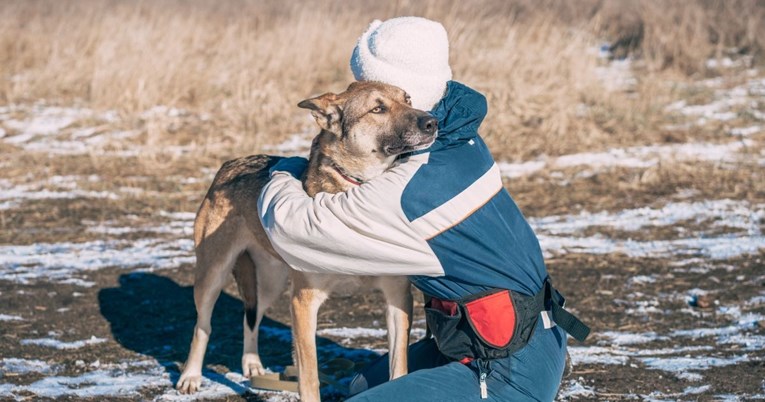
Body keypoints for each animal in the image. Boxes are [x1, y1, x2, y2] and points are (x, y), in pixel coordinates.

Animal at [175, 80, 436, 400]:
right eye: (378, 109)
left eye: (407, 99)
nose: (432, 122)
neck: (358, 194)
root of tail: (230, 164)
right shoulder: (303, 302)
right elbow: (309, 377)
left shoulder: (397, 297)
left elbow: (398, 368)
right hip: (212, 275)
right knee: (203, 326)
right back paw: (191, 376)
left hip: (270, 284)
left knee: (252, 317)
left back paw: (252, 364)